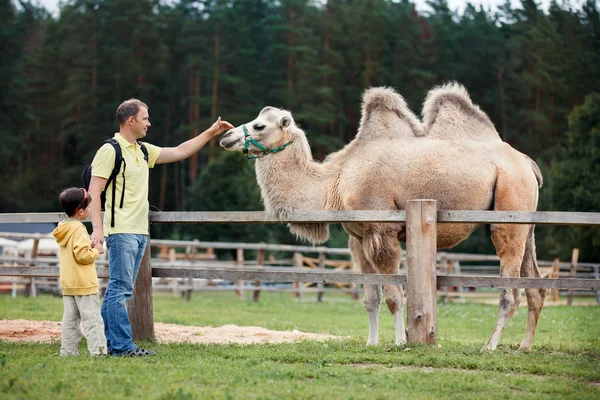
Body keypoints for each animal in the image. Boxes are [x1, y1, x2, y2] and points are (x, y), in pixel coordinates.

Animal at [221, 83, 548, 352]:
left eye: (259, 125)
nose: (226, 136)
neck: (334, 181)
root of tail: (527, 164)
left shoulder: (383, 230)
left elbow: (393, 294)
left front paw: (401, 341)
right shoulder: (358, 237)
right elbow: (370, 297)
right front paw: (371, 342)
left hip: (509, 207)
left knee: (510, 290)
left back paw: (489, 346)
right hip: (526, 219)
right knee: (536, 284)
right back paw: (524, 346)